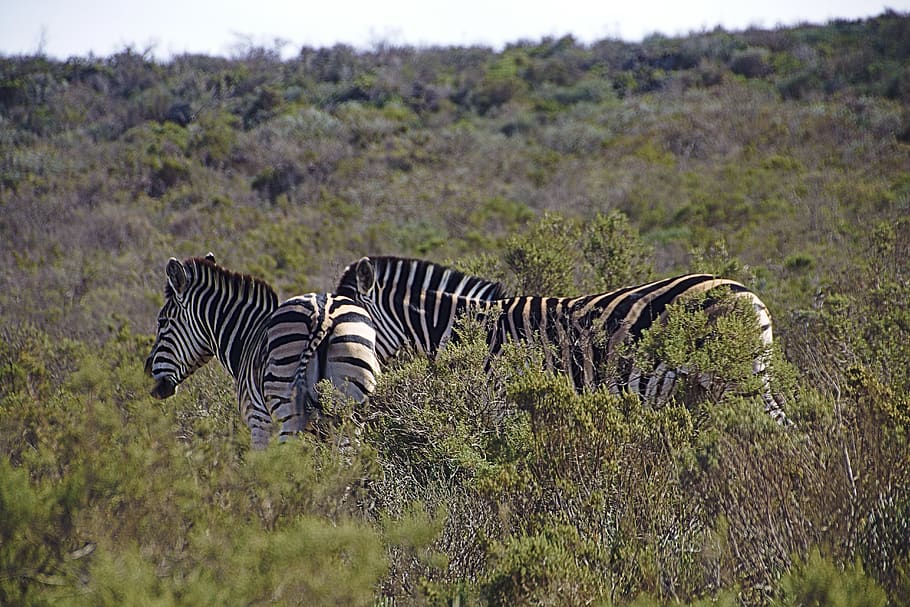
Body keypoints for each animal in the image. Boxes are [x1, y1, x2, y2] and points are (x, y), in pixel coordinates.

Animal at [144, 254, 379, 449]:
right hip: (350, 408)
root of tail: (323, 315)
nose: (146, 370)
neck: (247, 336)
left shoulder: (257, 419)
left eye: (162, 322)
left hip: (288, 414)